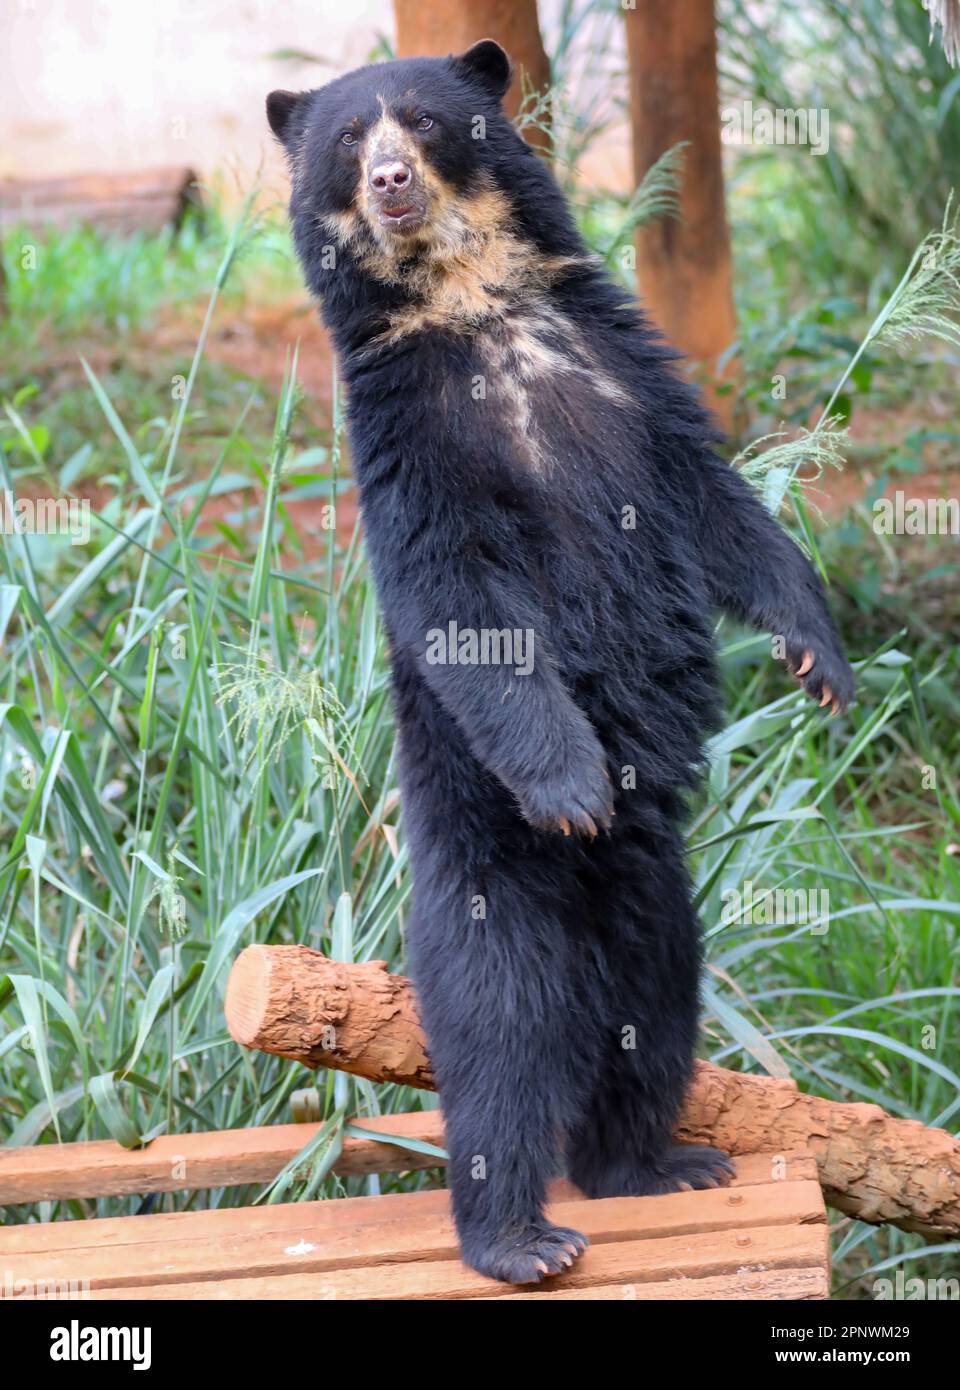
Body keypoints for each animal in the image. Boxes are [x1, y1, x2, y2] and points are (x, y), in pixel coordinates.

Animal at [267, 38, 854, 1285]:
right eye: (346, 142)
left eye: (423, 121)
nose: (389, 181)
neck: (471, 300)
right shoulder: (411, 437)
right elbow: (465, 605)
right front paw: (577, 784)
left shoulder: (631, 371)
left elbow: (723, 508)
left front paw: (820, 665)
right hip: (492, 885)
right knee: (501, 1048)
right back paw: (521, 1235)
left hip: (663, 908)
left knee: (653, 1018)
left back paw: (655, 1163)